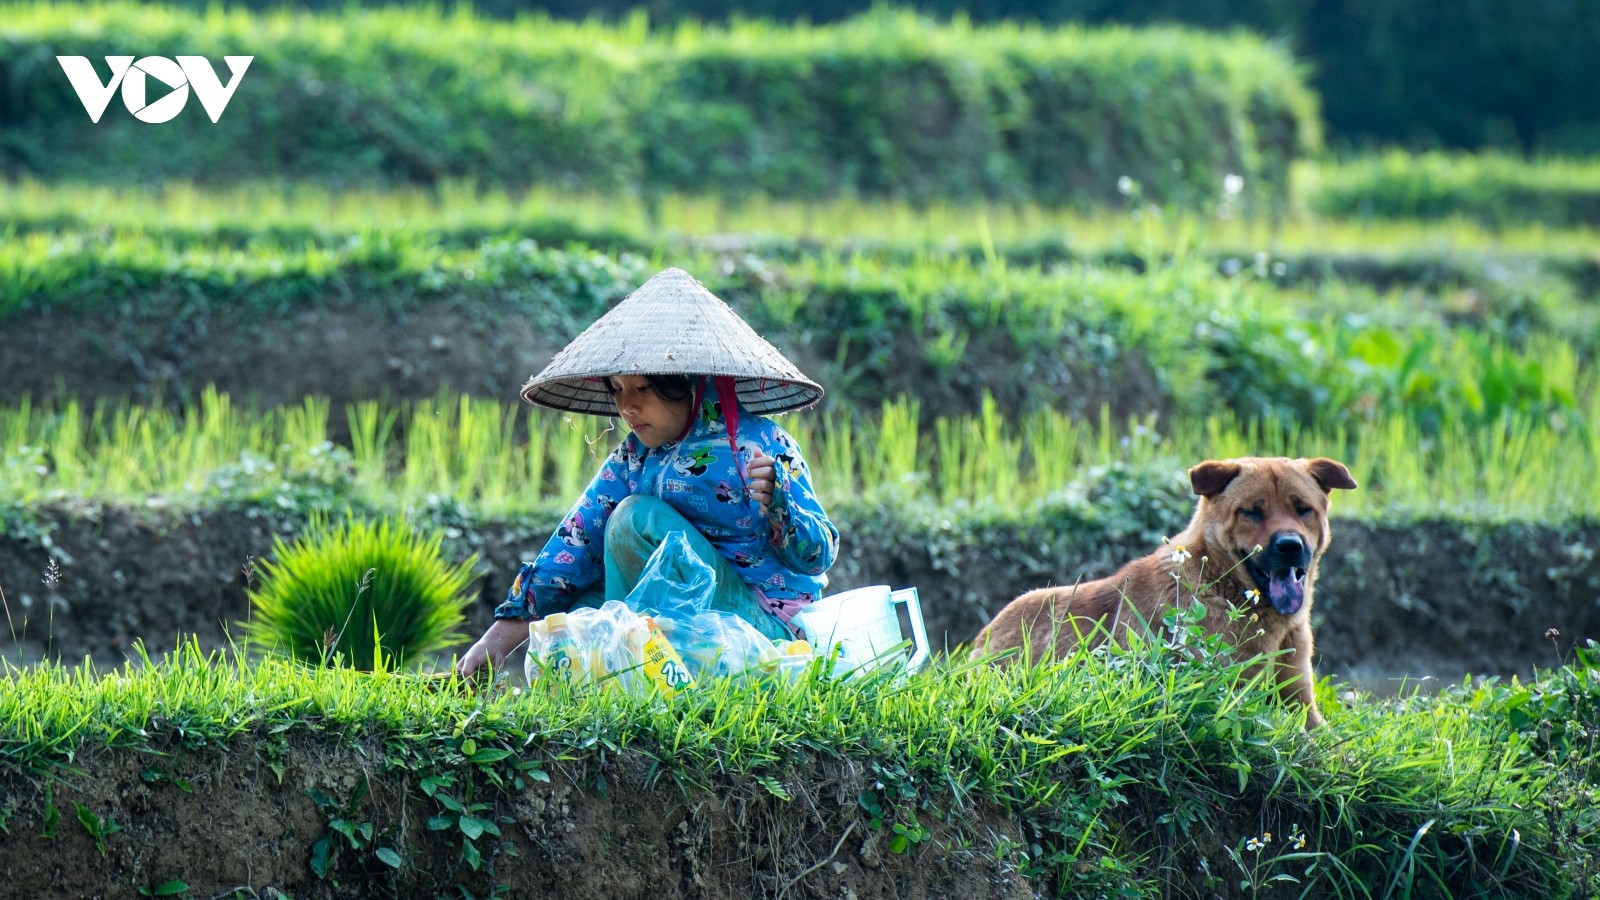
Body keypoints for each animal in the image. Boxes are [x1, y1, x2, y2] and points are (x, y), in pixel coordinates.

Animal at [966, 454, 1356, 730]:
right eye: (1251, 512)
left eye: (1303, 509)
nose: (1290, 546)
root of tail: (982, 637)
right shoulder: (1227, 693)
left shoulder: (1301, 702)